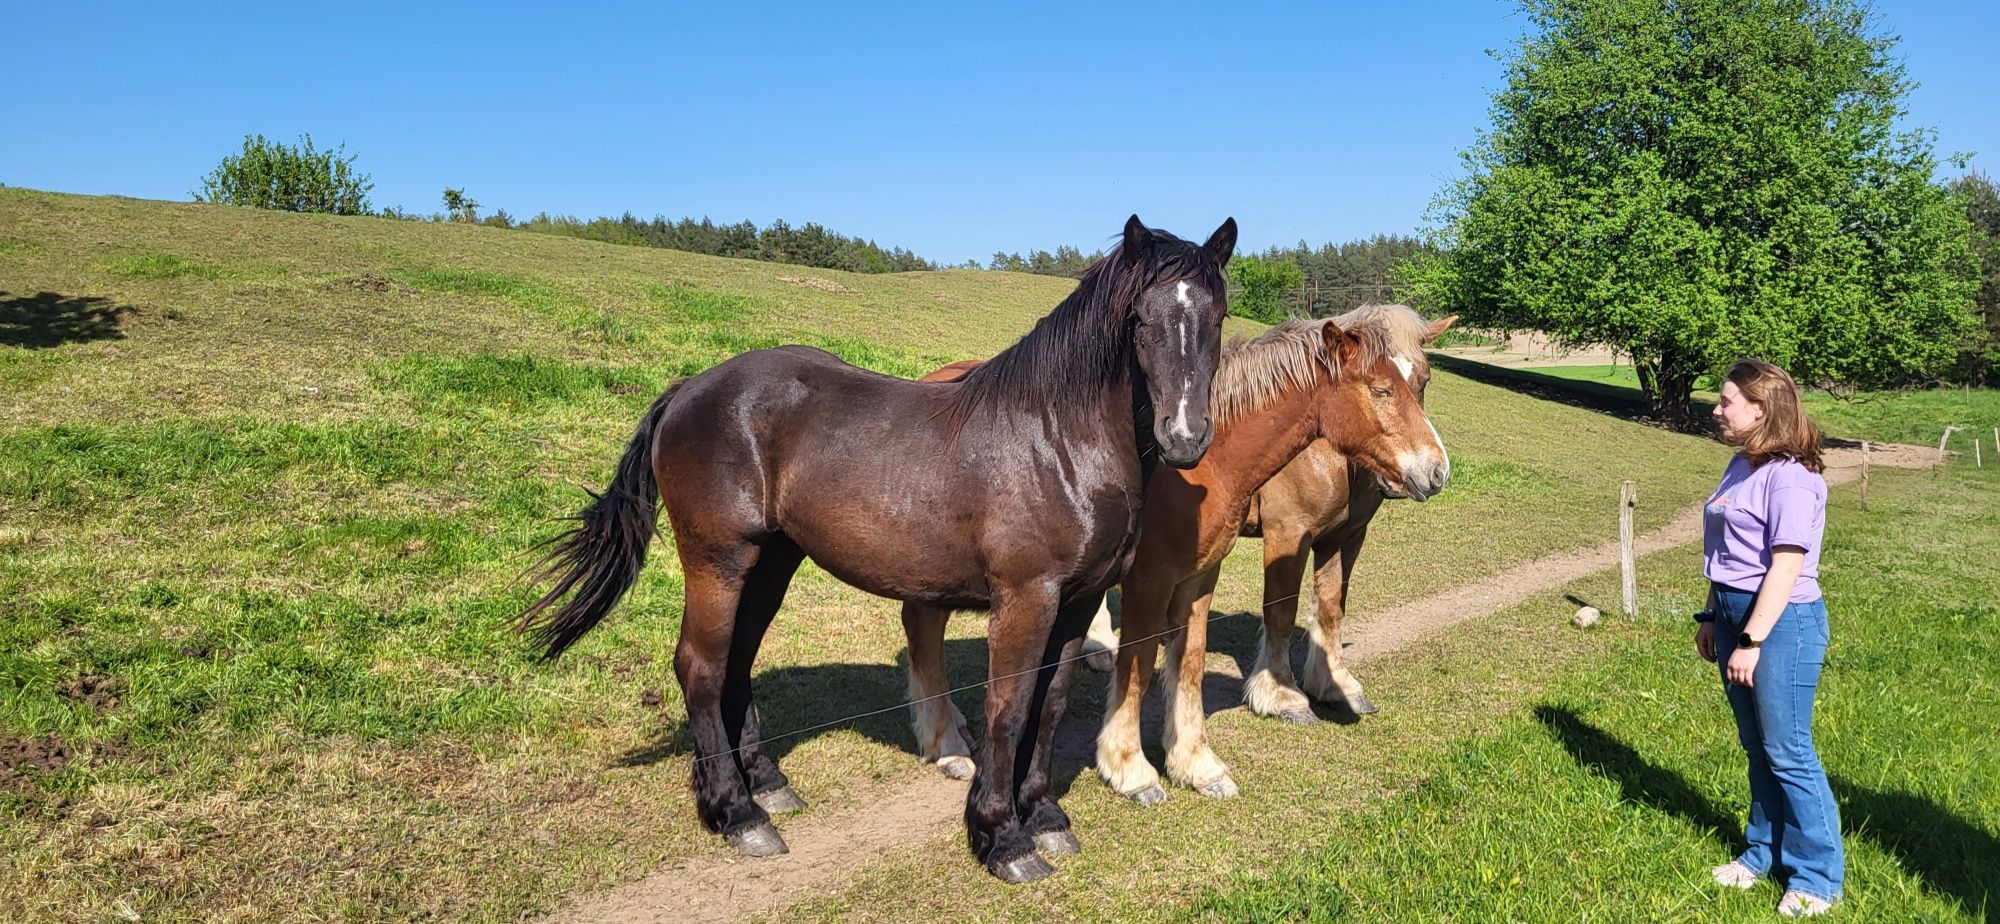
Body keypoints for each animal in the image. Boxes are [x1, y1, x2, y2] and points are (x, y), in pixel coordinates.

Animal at [516, 215, 1232, 880]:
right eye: (1139, 320)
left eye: (1218, 315)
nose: (1185, 437)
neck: (1056, 441)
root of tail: (687, 391)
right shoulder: (1026, 599)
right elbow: (1007, 709)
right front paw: (1002, 838)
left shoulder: (1080, 601)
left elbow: (1048, 706)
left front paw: (1045, 817)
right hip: (719, 560)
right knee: (701, 666)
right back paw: (737, 813)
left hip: (771, 563)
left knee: (738, 662)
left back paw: (767, 786)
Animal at [900, 310, 1448, 800]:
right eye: (1381, 390)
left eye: (1421, 381)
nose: (1436, 470)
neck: (1201, 462)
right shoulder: (1176, 571)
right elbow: (1144, 661)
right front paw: (1130, 767)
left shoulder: (1206, 574)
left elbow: (1194, 659)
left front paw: (1196, 763)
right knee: (924, 628)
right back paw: (946, 744)